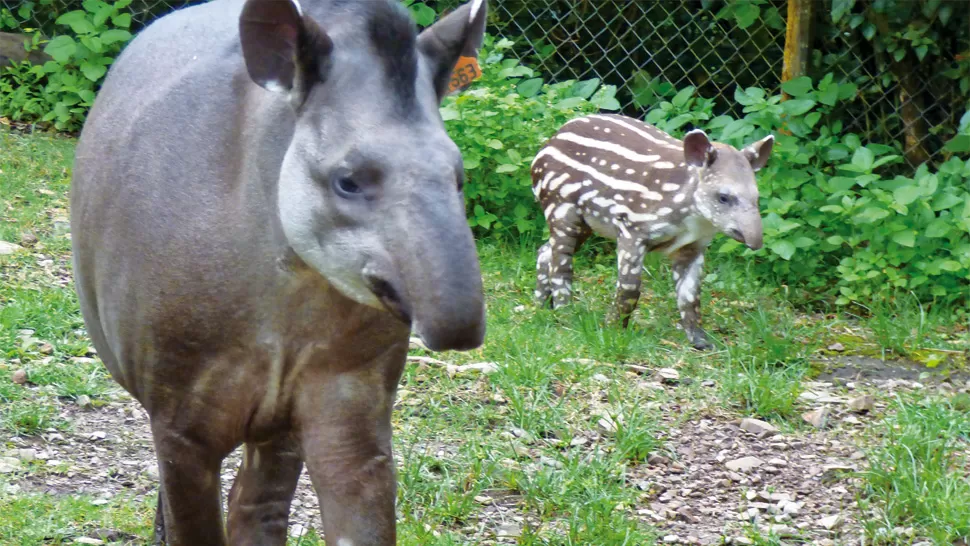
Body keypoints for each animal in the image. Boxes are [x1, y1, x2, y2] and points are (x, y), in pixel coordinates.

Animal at [72, 1, 488, 544]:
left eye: (458, 176)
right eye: (347, 180)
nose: (459, 328)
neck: (291, 291)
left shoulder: (351, 404)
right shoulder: (181, 422)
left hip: (280, 423)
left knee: (258, 500)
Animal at [528, 113, 772, 348]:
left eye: (757, 197)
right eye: (723, 197)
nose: (755, 242)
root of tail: (549, 143)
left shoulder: (692, 246)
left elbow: (690, 296)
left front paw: (701, 342)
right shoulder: (631, 231)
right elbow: (630, 288)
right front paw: (612, 329)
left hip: (585, 223)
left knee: (545, 251)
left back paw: (541, 306)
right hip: (561, 208)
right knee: (561, 264)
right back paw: (565, 313)